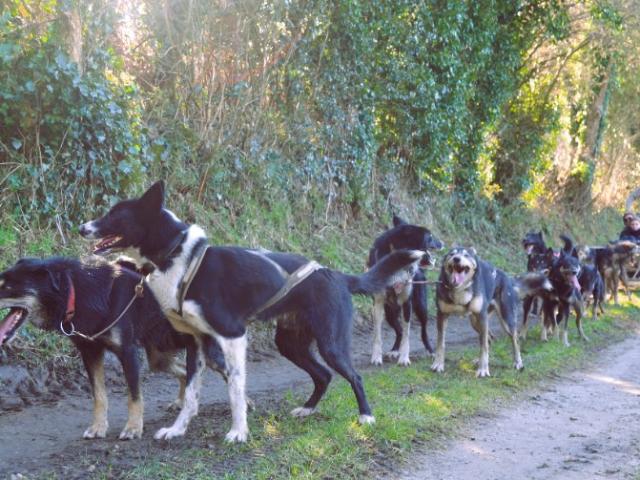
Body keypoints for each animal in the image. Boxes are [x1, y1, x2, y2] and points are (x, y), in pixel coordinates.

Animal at [0, 256, 228, 440]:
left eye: (8, 287)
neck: (78, 292)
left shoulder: (127, 353)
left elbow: (134, 397)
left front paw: (133, 428)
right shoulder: (89, 352)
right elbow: (99, 395)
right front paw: (98, 427)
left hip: (206, 352)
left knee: (227, 374)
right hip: (159, 356)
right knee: (182, 371)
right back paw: (181, 402)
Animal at [81, 183, 430, 442]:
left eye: (115, 214)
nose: (83, 227)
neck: (178, 256)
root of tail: (338, 275)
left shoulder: (233, 336)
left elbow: (236, 388)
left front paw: (238, 432)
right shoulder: (197, 343)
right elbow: (191, 393)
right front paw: (177, 429)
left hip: (331, 343)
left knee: (353, 375)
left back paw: (366, 416)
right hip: (289, 343)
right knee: (323, 375)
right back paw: (308, 410)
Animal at [368, 216, 442, 366]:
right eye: (430, 237)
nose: (442, 243)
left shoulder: (407, 303)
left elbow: (407, 334)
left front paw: (404, 358)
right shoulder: (377, 304)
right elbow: (377, 334)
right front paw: (376, 357)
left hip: (421, 308)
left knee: (423, 331)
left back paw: (431, 351)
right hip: (390, 313)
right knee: (399, 331)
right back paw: (394, 350)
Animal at [430, 248, 524, 378]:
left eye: (466, 255)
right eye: (451, 254)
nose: (456, 259)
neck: (460, 289)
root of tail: (507, 276)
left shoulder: (482, 316)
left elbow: (483, 346)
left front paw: (483, 369)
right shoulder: (442, 315)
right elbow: (440, 343)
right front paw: (438, 364)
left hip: (506, 320)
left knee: (515, 340)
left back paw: (518, 362)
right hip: (475, 322)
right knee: (489, 338)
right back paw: (478, 361)